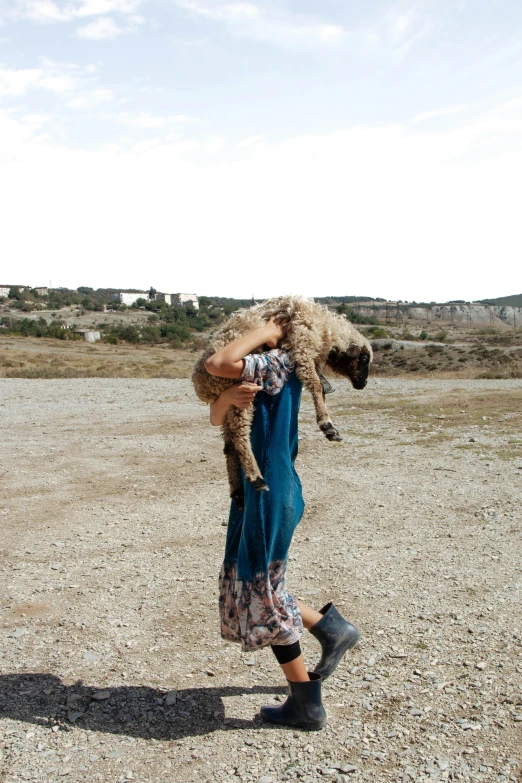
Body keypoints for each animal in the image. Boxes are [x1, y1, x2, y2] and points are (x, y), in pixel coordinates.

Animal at [191, 296, 370, 508]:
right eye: (364, 358)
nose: (364, 383)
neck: (326, 328)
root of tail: (199, 383)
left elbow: (320, 387)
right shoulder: (301, 346)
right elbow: (316, 385)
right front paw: (327, 425)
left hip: (227, 403)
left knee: (229, 446)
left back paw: (238, 492)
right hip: (238, 392)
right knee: (239, 436)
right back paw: (256, 478)